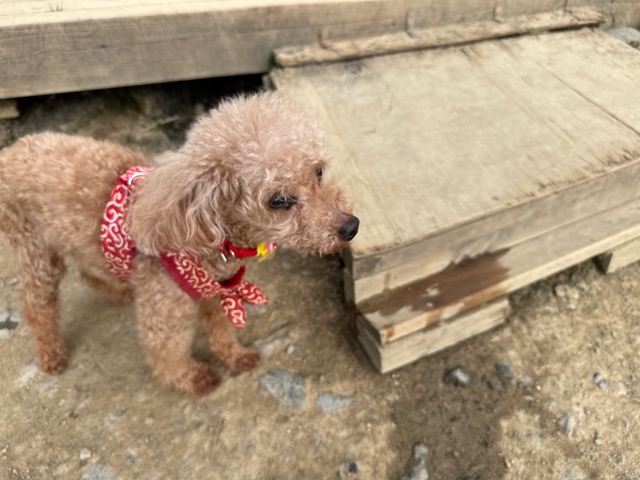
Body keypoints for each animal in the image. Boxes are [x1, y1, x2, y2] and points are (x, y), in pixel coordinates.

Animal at [0, 92, 359, 394]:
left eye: (318, 173)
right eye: (279, 201)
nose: (351, 226)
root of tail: (10, 152)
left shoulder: (217, 291)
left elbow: (220, 329)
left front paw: (236, 355)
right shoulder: (165, 312)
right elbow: (167, 351)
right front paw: (193, 378)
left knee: (89, 273)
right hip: (33, 248)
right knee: (36, 305)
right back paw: (51, 353)